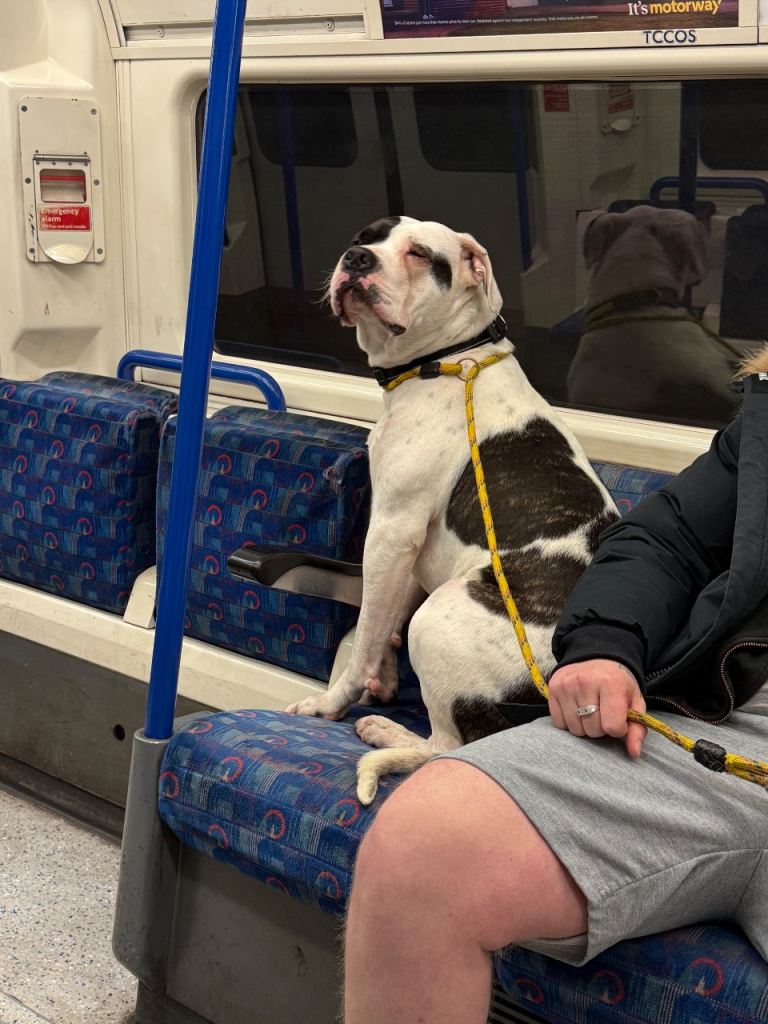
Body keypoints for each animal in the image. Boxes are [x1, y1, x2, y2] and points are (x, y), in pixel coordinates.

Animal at [286, 216, 619, 804]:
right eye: (365, 236)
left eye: (419, 254)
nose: (357, 259)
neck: (446, 362)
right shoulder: (408, 552)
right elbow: (383, 616)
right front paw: (384, 677)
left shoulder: (391, 530)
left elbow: (366, 630)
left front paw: (334, 700)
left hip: (437, 619)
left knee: (447, 746)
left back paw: (384, 732)